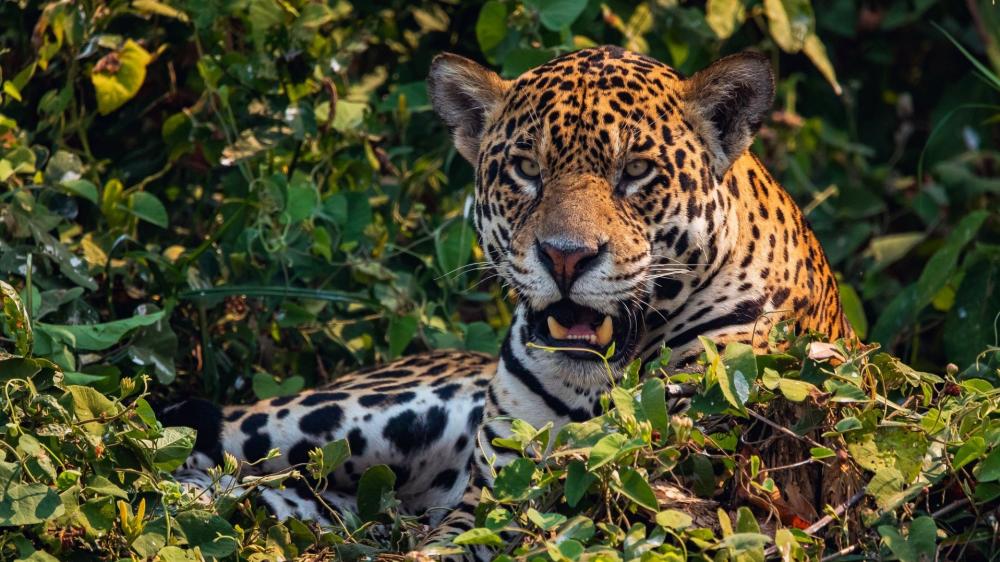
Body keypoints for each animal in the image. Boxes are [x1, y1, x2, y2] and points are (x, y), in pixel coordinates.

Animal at [164, 45, 856, 559]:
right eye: (526, 169)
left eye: (636, 172)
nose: (567, 256)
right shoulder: (496, 488)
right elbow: (451, 541)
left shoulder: (674, 475)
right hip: (337, 416)